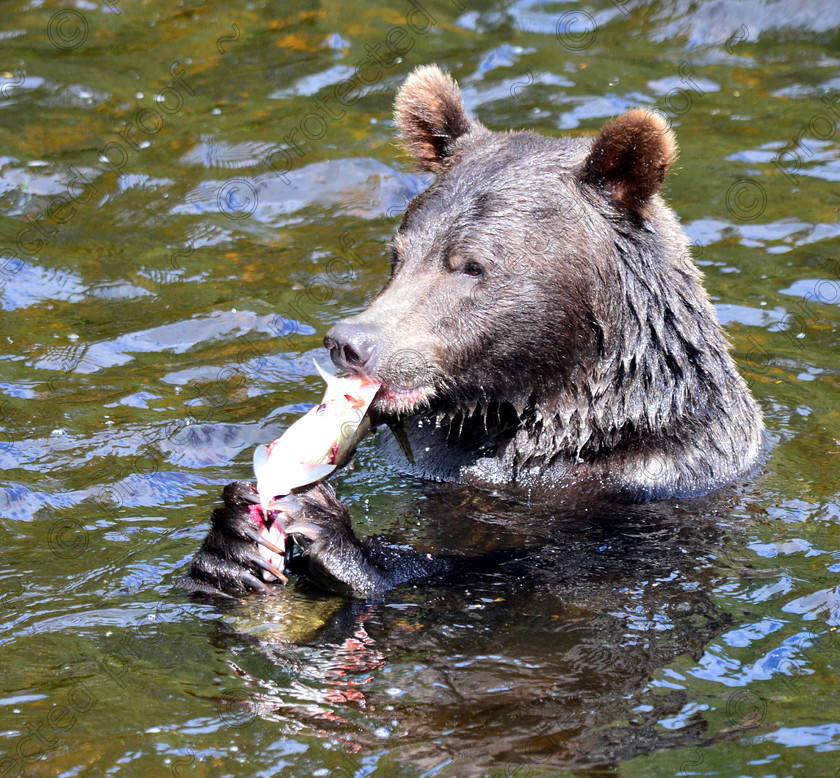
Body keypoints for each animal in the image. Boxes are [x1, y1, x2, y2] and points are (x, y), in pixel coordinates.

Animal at [180, 66, 764, 596]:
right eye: (398, 253)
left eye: (470, 265)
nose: (350, 343)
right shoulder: (426, 459)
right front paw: (231, 542)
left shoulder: (653, 484)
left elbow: (500, 570)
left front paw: (335, 535)